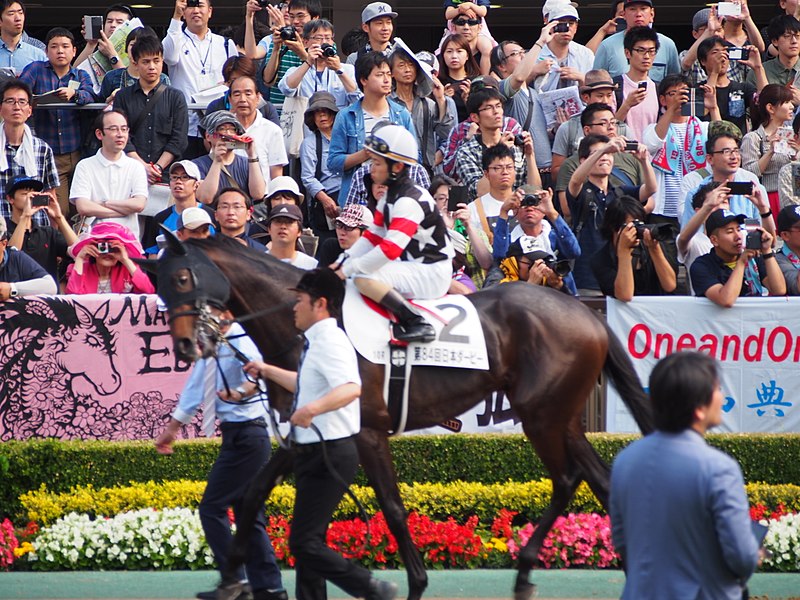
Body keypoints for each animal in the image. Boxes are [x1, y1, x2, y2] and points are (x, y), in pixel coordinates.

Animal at [153, 236, 652, 600]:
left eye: (183, 276)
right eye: (159, 285)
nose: (185, 346)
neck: (305, 326)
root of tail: (584, 312)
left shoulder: (367, 432)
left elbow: (392, 509)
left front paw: (413, 584)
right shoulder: (307, 430)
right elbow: (252, 494)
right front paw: (229, 579)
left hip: (542, 416)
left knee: (567, 481)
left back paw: (528, 570)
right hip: (560, 417)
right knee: (599, 480)